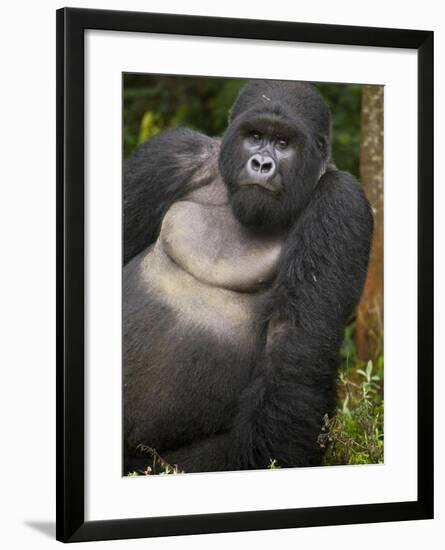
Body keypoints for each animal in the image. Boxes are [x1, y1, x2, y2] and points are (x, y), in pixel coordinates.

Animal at [121, 80, 372, 476]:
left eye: (283, 143)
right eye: (255, 137)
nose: (262, 164)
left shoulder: (340, 202)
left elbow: (294, 348)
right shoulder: (170, 155)